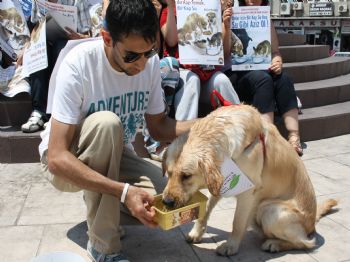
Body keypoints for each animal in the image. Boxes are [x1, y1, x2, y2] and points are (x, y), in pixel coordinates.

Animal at [163, 104, 338, 256]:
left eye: (186, 175)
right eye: (169, 173)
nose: (166, 202)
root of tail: (312, 223)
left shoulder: (247, 192)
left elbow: (237, 222)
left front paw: (231, 246)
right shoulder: (222, 183)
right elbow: (205, 211)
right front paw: (196, 233)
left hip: (270, 210)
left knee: (305, 243)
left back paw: (275, 244)